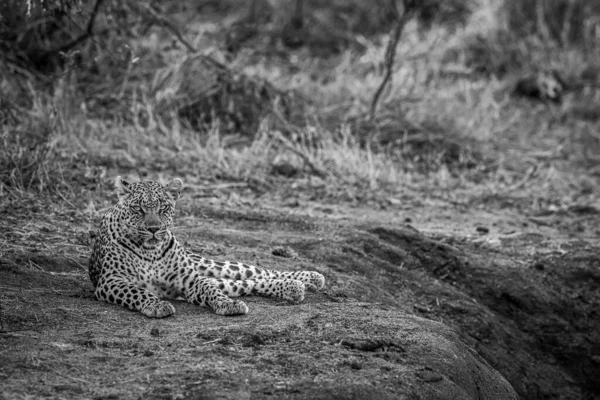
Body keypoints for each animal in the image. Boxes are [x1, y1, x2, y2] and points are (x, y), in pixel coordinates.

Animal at [87, 177, 326, 318]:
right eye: (138, 208)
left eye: (163, 207)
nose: (154, 228)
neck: (151, 252)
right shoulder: (112, 280)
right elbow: (137, 291)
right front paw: (157, 305)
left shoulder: (190, 279)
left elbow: (210, 290)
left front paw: (228, 304)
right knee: (246, 283)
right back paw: (294, 288)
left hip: (208, 266)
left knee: (255, 272)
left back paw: (310, 278)